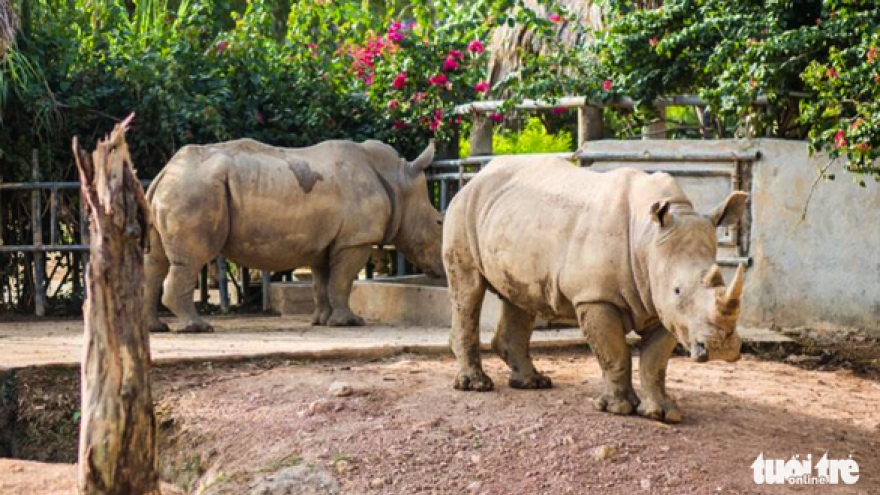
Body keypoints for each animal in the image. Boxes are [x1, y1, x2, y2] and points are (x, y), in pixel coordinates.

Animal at [146, 139, 446, 334]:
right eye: (438, 223)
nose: (444, 271)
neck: (398, 180)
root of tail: (163, 172)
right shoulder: (355, 239)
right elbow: (342, 282)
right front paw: (350, 323)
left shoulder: (326, 243)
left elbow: (322, 283)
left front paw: (322, 322)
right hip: (193, 189)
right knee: (190, 260)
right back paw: (197, 328)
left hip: (181, 187)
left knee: (156, 262)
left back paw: (157, 328)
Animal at [444, 157, 744, 424]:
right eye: (678, 290)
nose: (720, 348)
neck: (648, 240)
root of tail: (478, 176)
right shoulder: (595, 297)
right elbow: (615, 353)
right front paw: (618, 409)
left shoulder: (665, 309)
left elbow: (655, 362)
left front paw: (662, 414)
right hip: (463, 210)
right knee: (468, 290)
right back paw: (477, 385)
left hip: (512, 219)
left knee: (519, 298)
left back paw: (533, 383)